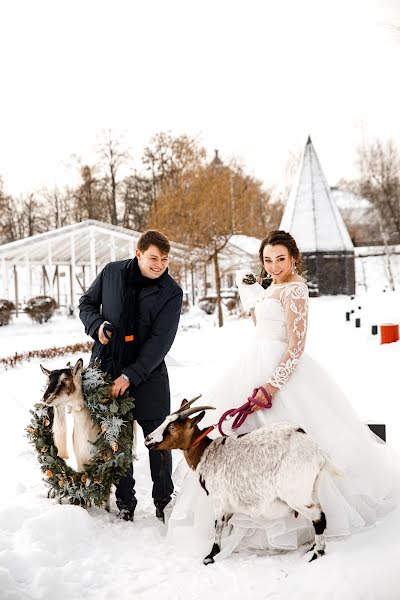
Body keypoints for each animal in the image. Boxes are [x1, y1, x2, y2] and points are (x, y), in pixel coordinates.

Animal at [145, 400, 338, 564]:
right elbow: (226, 526)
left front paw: (211, 556)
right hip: (310, 489)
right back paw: (312, 548)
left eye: (172, 427)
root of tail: (317, 452)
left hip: (295, 494)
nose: (148, 439)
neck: (206, 453)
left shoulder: (219, 499)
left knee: (319, 517)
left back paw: (316, 555)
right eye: (165, 420)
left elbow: (217, 526)